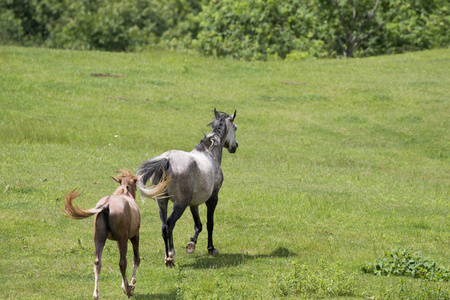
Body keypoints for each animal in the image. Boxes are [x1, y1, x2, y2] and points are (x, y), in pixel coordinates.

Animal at [138, 108, 239, 268]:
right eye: (235, 128)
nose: (235, 146)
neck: (209, 153)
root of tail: (167, 160)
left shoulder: (194, 204)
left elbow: (198, 225)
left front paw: (191, 244)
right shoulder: (212, 199)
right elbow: (209, 223)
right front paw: (211, 248)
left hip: (162, 202)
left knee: (164, 227)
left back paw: (167, 256)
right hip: (180, 204)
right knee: (170, 224)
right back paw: (170, 256)